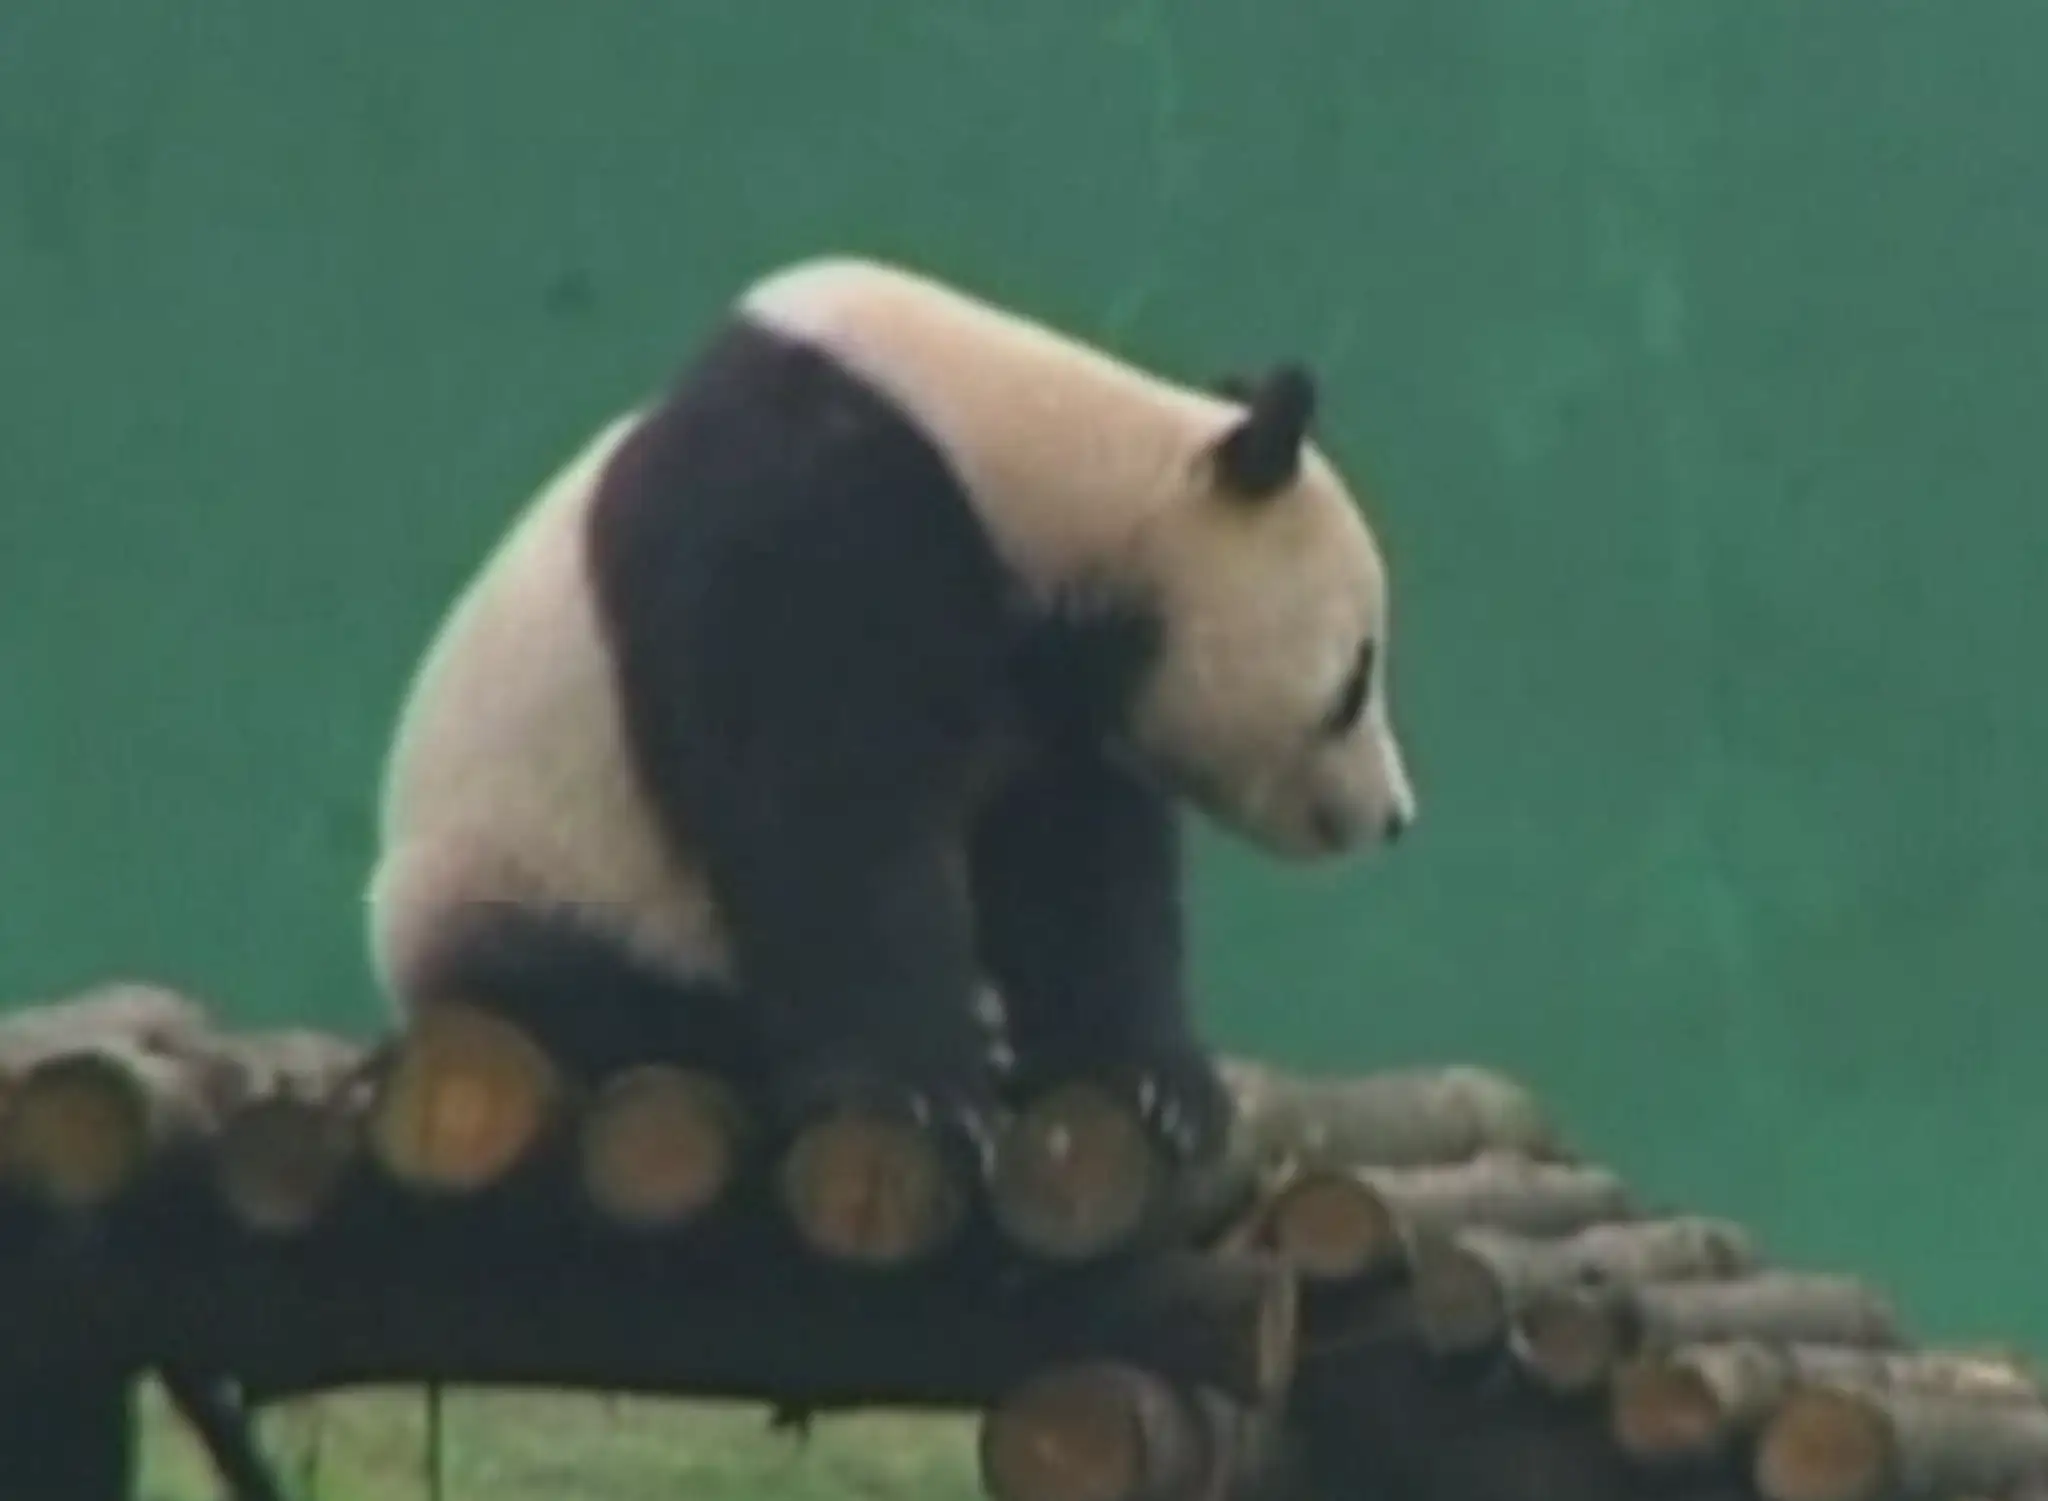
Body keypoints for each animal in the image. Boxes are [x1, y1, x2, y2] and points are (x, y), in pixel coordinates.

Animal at [366, 255, 1418, 1179]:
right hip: (526, 873)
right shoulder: (814, 519)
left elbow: (1076, 859)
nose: (1395, 815)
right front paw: (920, 1090)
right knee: (579, 990)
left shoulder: (1051, 686)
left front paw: (1155, 1081)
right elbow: (827, 811)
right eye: (1355, 681)